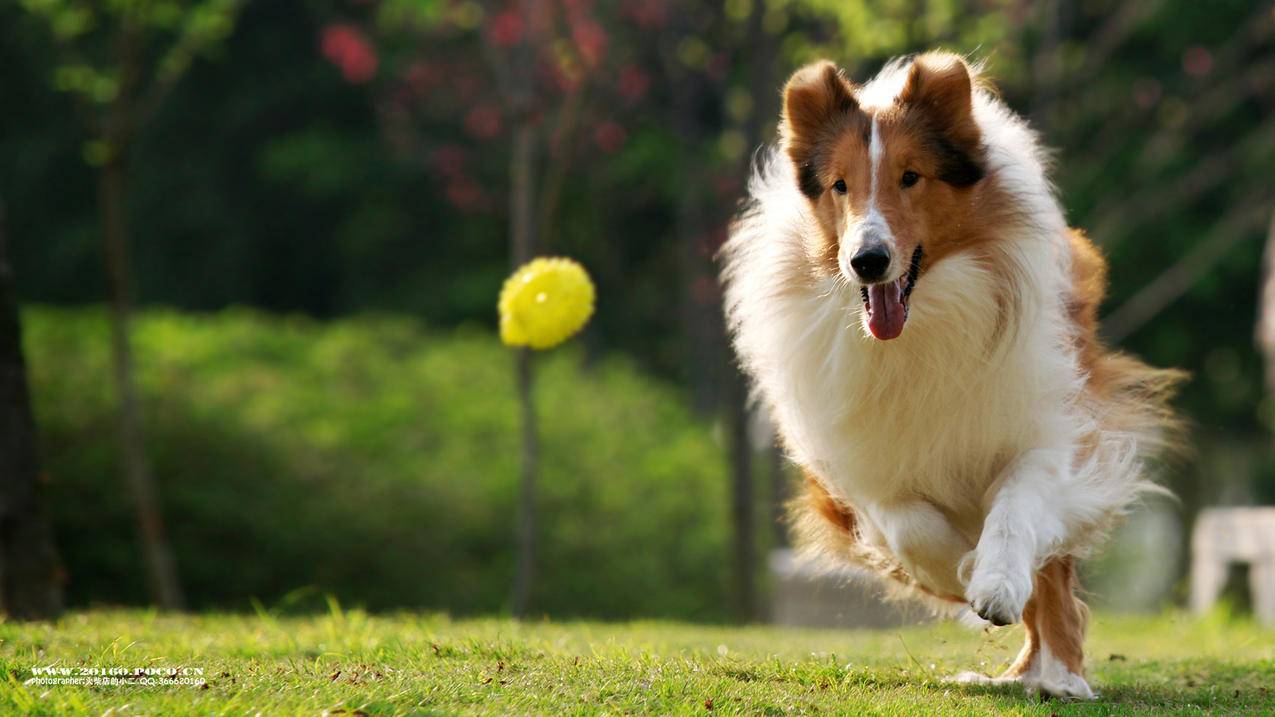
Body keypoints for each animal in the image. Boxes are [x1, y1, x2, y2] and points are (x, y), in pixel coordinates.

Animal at [724, 51, 1178, 699]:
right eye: (840, 185)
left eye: (911, 176)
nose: (867, 261)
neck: (921, 330)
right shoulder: (863, 474)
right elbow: (912, 528)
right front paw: (965, 570)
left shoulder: (1051, 433)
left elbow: (1015, 511)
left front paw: (995, 582)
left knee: (1055, 590)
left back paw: (1059, 677)